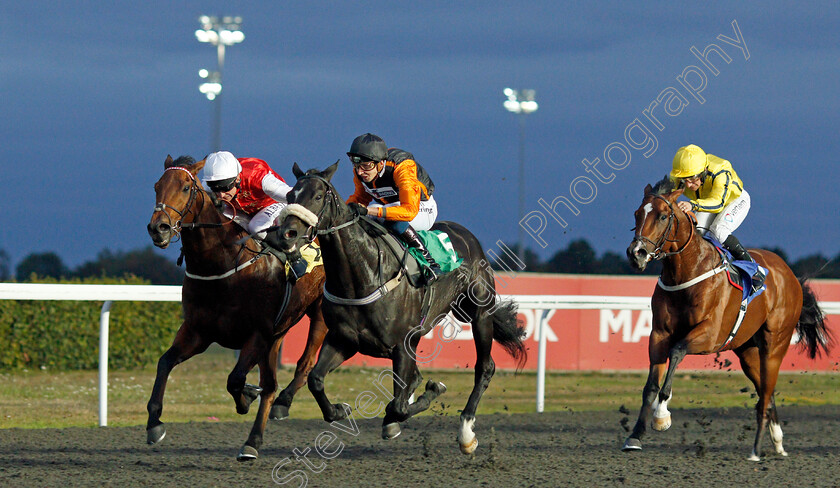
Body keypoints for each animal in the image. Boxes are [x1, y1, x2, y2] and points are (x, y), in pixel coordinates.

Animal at [144, 155, 328, 462]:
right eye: (157, 186)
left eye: (185, 187)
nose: (158, 229)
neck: (222, 265)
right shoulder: (197, 332)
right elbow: (164, 362)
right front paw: (154, 424)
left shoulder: (256, 334)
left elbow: (235, 380)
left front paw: (245, 398)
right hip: (277, 335)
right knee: (270, 385)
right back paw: (255, 437)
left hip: (320, 314)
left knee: (303, 366)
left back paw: (272, 416)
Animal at [276, 161, 524, 454]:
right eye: (290, 195)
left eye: (316, 196)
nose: (286, 234)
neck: (363, 275)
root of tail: (466, 235)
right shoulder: (343, 339)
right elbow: (316, 379)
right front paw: (339, 409)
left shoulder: (402, 345)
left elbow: (398, 405)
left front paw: (432, 391)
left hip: (479, 312)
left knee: (484, 367)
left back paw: (466, 433)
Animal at [620, 177, 832, 460]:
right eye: (637, 214)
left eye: (663, 216)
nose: (637, 253)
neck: (688, 271)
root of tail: (790, 274)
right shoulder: (659, 334)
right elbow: (650, 386)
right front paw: (634, 436)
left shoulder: (711, 334)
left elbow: (676, 352)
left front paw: (662, 414)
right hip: (748, 352)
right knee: (766, 391)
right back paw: (777, 441)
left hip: (774, 345)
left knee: (766, 392)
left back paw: (756, 449)